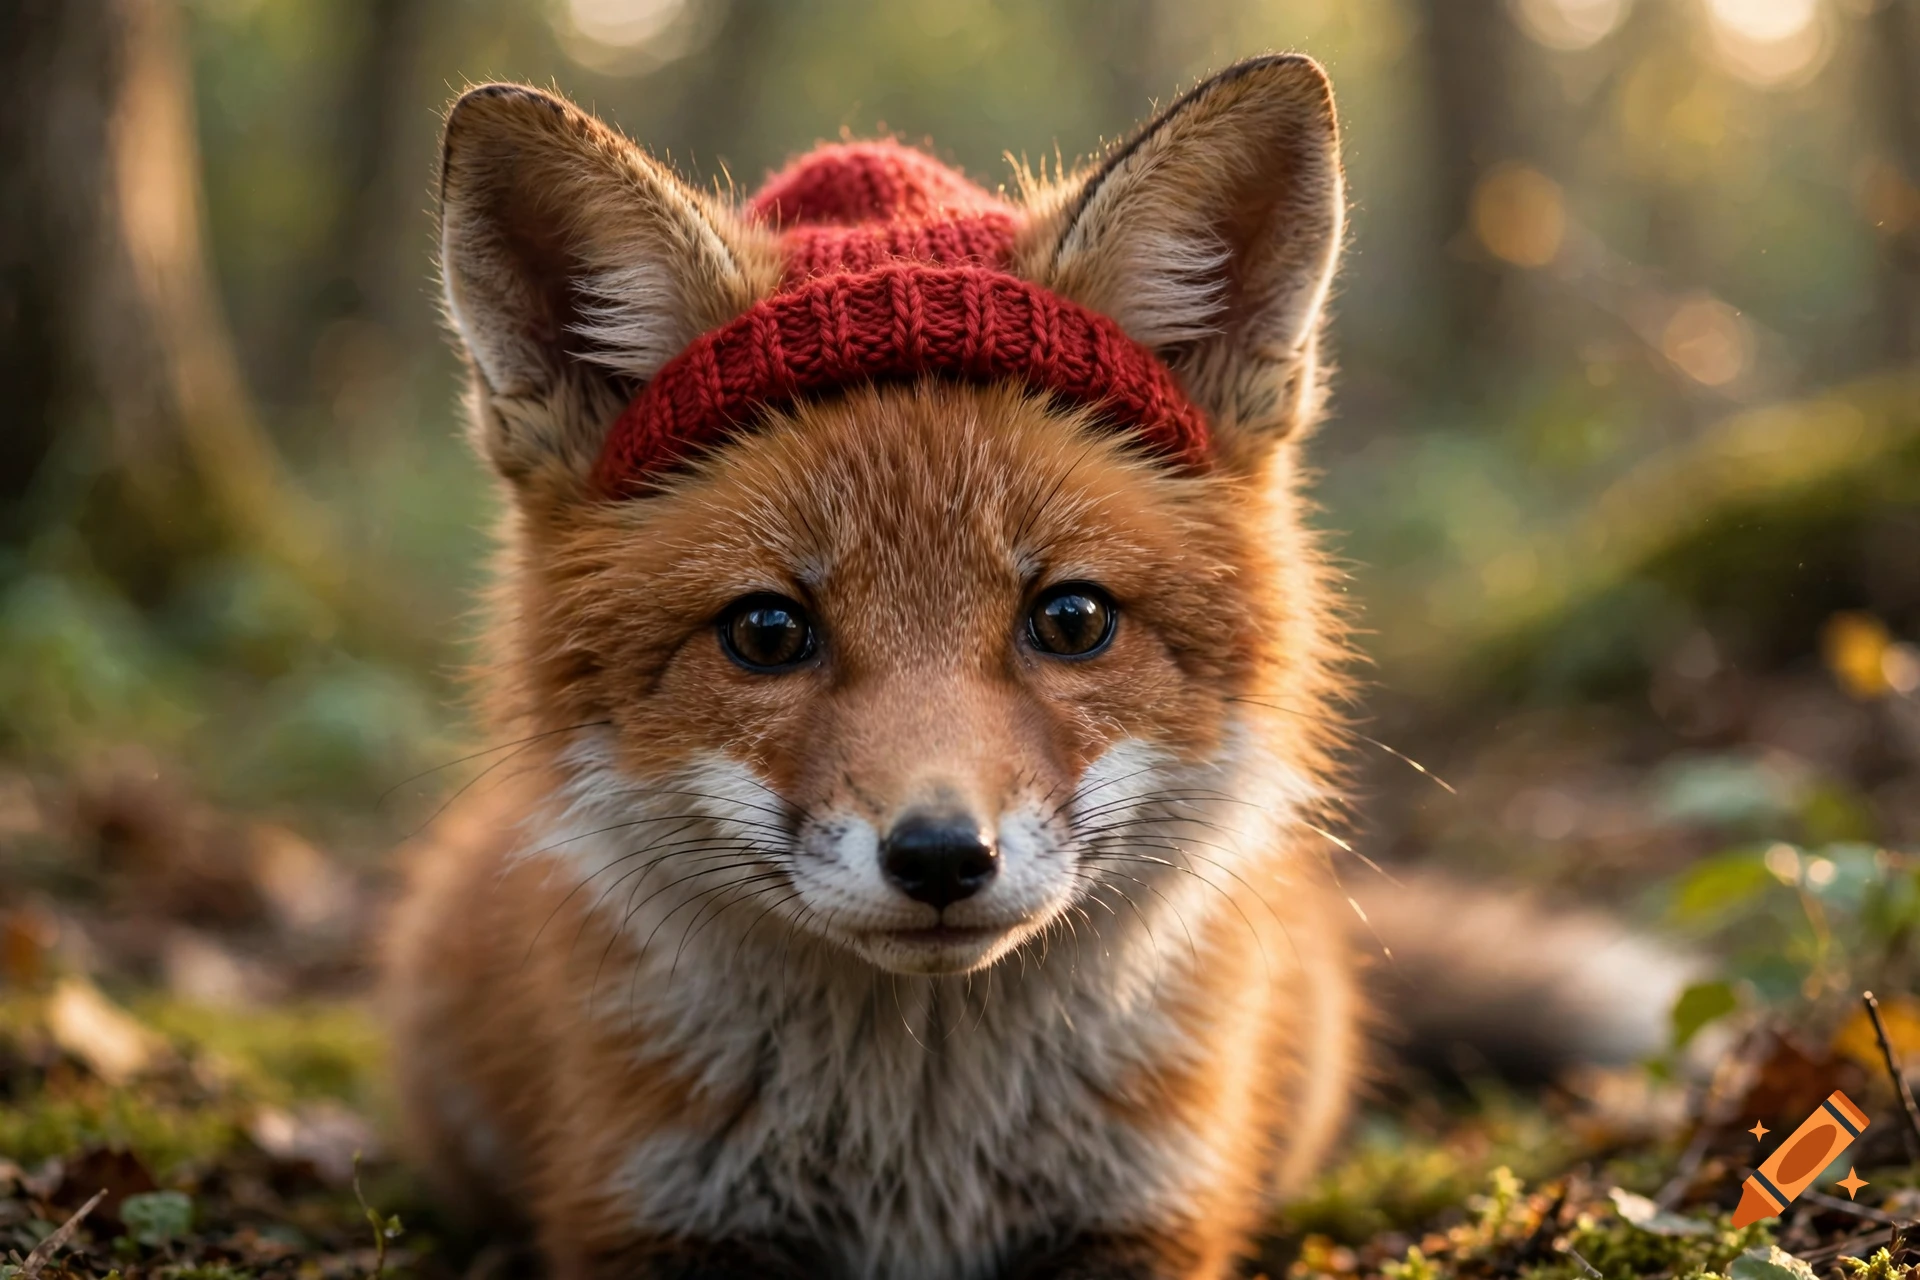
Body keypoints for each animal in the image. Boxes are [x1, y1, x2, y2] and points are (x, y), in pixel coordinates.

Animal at [383, 54, 1688, 1280]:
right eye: (766, 632)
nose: (940, 856)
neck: (918, 1158)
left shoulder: (1151, 1207)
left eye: (1069, 618)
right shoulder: (647, 1208)